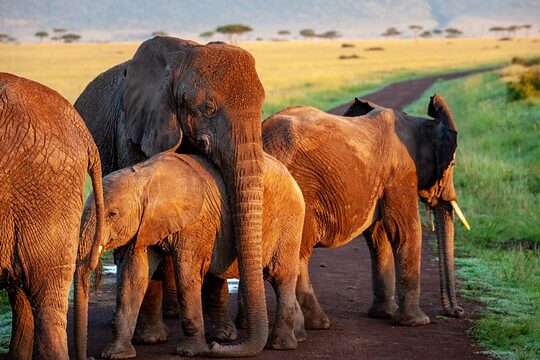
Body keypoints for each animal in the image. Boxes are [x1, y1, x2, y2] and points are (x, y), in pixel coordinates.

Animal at [74, 151, 306, 358]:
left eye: (112, 214)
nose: (214, 348)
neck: (144, 177)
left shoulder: (195, 223)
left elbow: (186, 275)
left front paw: (190, 352)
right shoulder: (144, 224)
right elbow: (133, 277)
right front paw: (116, 354)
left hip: (290, 220)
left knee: (281, 276)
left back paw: (280, 345)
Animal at [75, 36, 268, 358]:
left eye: (262, 109)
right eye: (207, 107)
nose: (216, 347)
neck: (182, 59)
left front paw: (223, 337)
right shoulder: (133, 132)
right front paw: (150, 339)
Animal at [258, 93, 468, 330]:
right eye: (452, 165)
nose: (457, 312)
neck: (420, 124)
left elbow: (379, 236)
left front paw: (384, 314)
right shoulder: (402, 174)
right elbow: (405, 230)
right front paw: (417, 322)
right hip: (301, 190)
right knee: (298, 253)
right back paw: (318, 323)